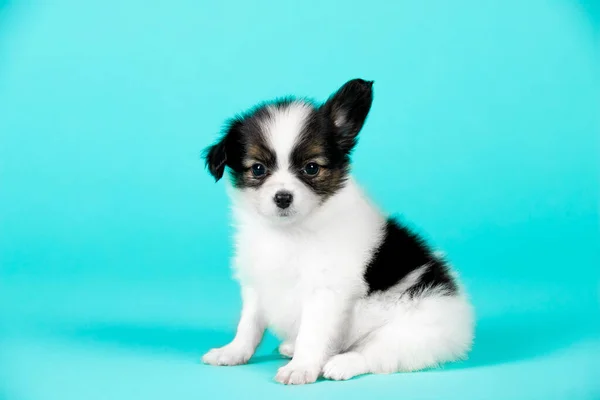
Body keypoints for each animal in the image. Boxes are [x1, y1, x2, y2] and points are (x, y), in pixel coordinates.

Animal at [202, 79, 474, 384]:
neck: (289, 232)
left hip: (410, 333)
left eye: (311, 168)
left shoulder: (325, 291)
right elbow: (248, 324)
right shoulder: (257, 283)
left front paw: (301, 367)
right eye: (258, 169)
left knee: (374, 354)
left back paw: (340, 363)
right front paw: (233, 352)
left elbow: (311, 333)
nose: (283, 197)